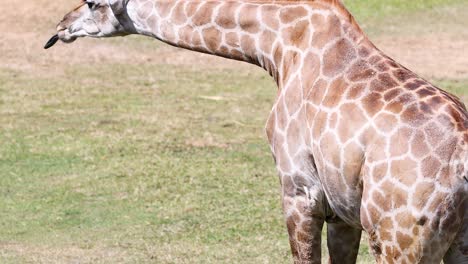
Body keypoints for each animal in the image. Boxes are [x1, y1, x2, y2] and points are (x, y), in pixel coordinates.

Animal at [44, 0, 468, 262]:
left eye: (92, 2)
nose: (60, 28)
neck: (280, 48)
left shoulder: (299, 188)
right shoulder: (343, 210)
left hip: (400, 239)